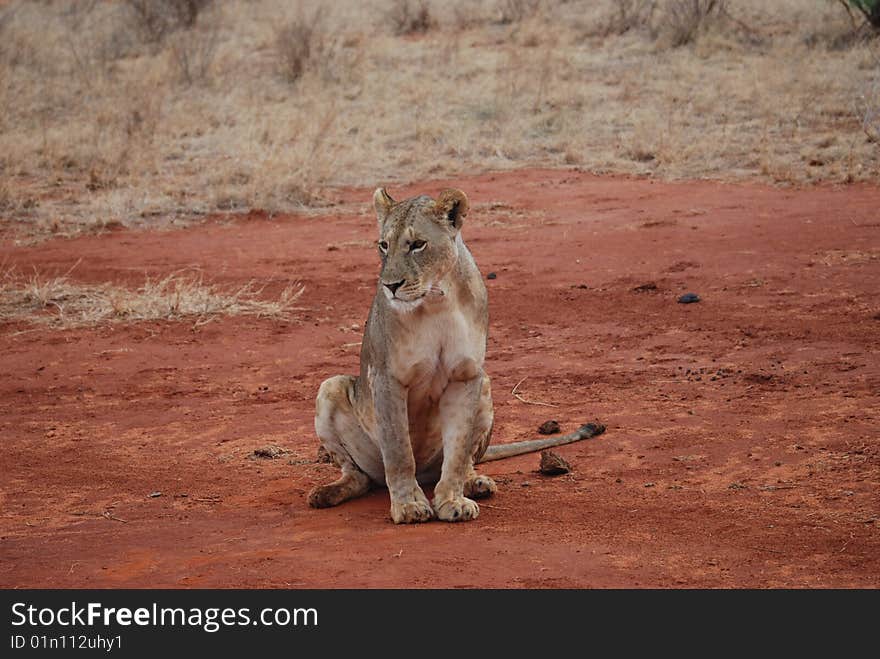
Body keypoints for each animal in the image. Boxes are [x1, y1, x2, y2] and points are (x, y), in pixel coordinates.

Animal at [306, 188, 600, 524]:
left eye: (417, 244)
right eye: (383, 245)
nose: (390, 286)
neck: (437, 300)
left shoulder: (467, 374)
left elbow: (458, 452)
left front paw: (452, 501)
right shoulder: (387, 378)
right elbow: (398, 450)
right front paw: (409, 506)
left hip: (486, 385)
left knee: (468, 460)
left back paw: (477, 484)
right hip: (330, 388)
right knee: (358, 475)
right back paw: (326, 494)